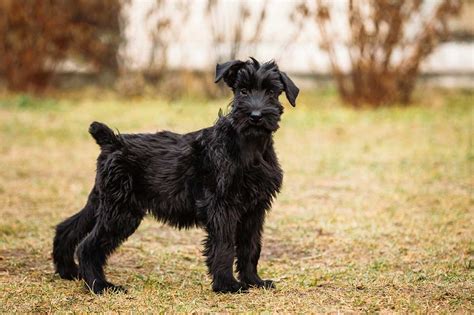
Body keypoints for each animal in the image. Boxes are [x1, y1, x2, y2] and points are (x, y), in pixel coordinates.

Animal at [52, 57, 300, 296]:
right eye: (243, 91)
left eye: (271, 92)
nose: (255, 116)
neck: (250, 147)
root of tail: (112, 141)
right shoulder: (222, 207)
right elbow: (225, 246)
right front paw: (227, 285)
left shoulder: (255, 209)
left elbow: (250, 247)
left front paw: (253, 281)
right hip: (121, 211)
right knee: (88, 246)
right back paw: (100, 286)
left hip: (103, 202)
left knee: (68, 228)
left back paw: (68, 271)